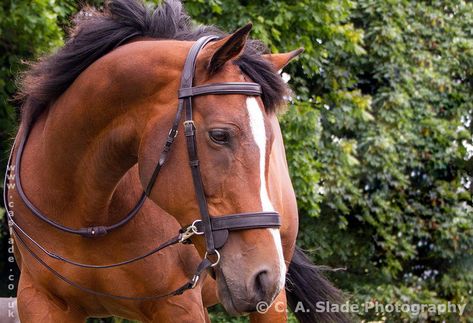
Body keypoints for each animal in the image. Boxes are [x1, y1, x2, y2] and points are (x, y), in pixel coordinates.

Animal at [2, 0, 342, 323]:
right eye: (220, 135)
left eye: (270, 142)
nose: (264, 276)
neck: (83, 212)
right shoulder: (39, 301)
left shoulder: (179, 305)